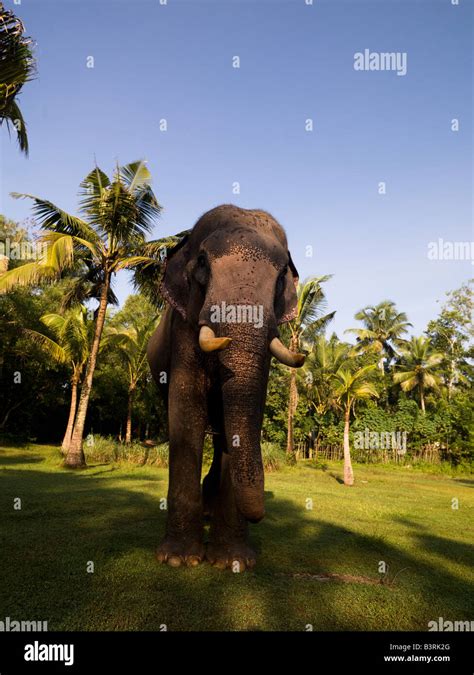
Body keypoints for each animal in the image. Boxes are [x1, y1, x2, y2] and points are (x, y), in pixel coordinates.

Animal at [146, 205, 306, 572]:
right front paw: (178, 558)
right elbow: (186, 407)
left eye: (281, 277)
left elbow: (250, 409)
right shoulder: (184, 327)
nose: (260, 516)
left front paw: (233, 562)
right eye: (203, 263)